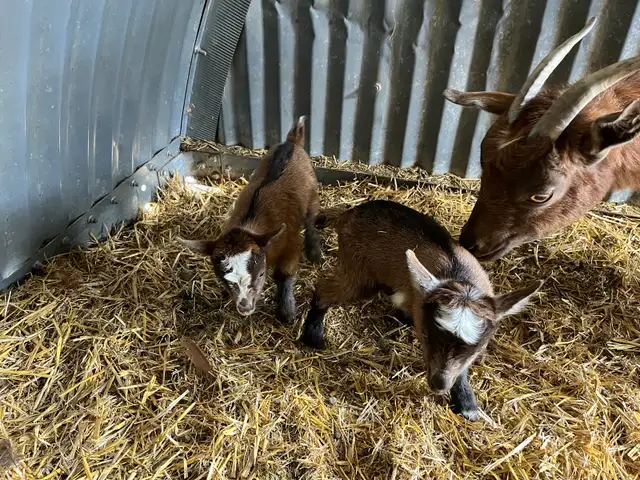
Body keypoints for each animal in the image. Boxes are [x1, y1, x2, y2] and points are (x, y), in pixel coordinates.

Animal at [176, 117, 321, 323]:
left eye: (260, 274)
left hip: (312, 192)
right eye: (224, 280)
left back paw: (314, 252)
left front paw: (286, 312)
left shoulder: (291, 243)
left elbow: (284, 275)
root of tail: (291, 143)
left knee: (310, 218)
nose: (244, 307)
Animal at [300, 200, 542, 420]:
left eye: (478, 349)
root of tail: (349, 213)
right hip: (358, 269)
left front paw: (466, 404)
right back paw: (313, 334)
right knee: (325, 289)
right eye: (426, 335)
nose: (439, 383)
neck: (458, 276)